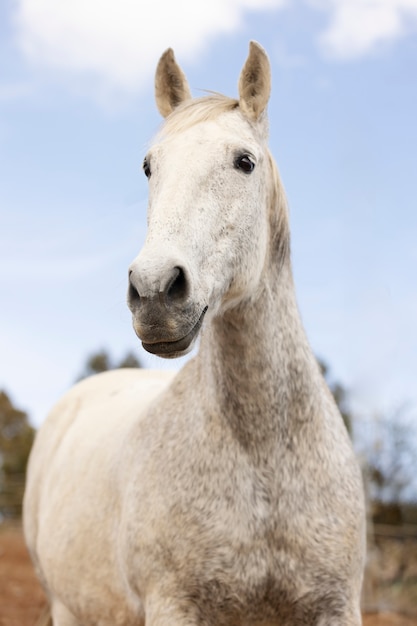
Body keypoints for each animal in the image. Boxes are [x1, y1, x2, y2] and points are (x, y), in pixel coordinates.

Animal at [24, 41, 366, 620]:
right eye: (148, 167)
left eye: (244, 162)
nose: (155, 291)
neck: (264, 458)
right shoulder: (174, 605)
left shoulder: (337, 606)